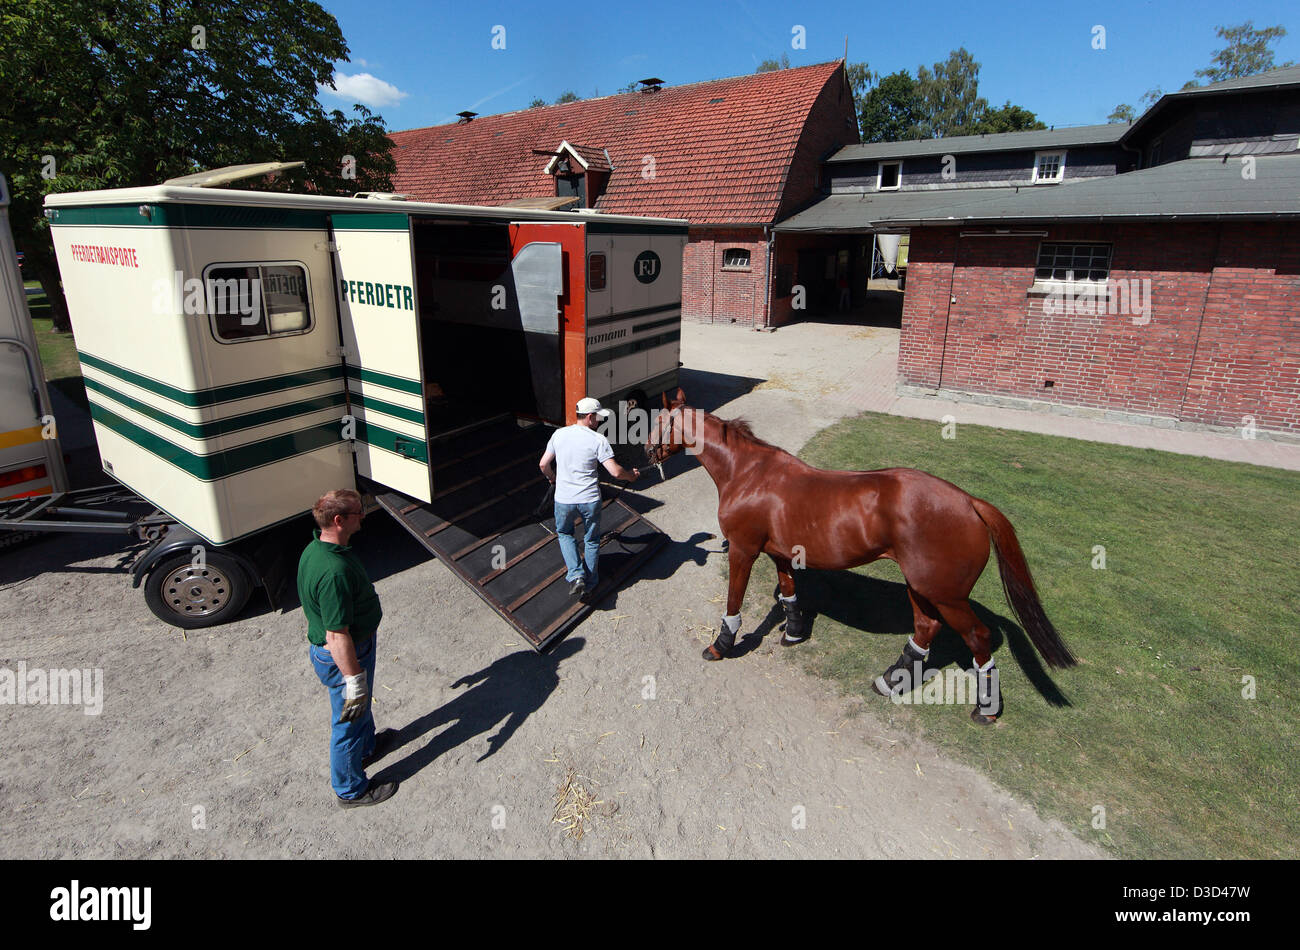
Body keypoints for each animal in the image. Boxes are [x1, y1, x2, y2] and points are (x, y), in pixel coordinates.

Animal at [644, 388, 1076, 724]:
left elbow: (734, 601)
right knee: (925, 628)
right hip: (922, 588)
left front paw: (721, 644)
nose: (646, 452)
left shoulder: (744, 551)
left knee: (976, 637)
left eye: (656, 421)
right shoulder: (780, 554)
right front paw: (794, 632)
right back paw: (892, 680)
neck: (748, 474)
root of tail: (970, 502)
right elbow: (789, 592)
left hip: (946, 594)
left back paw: (985, 708)